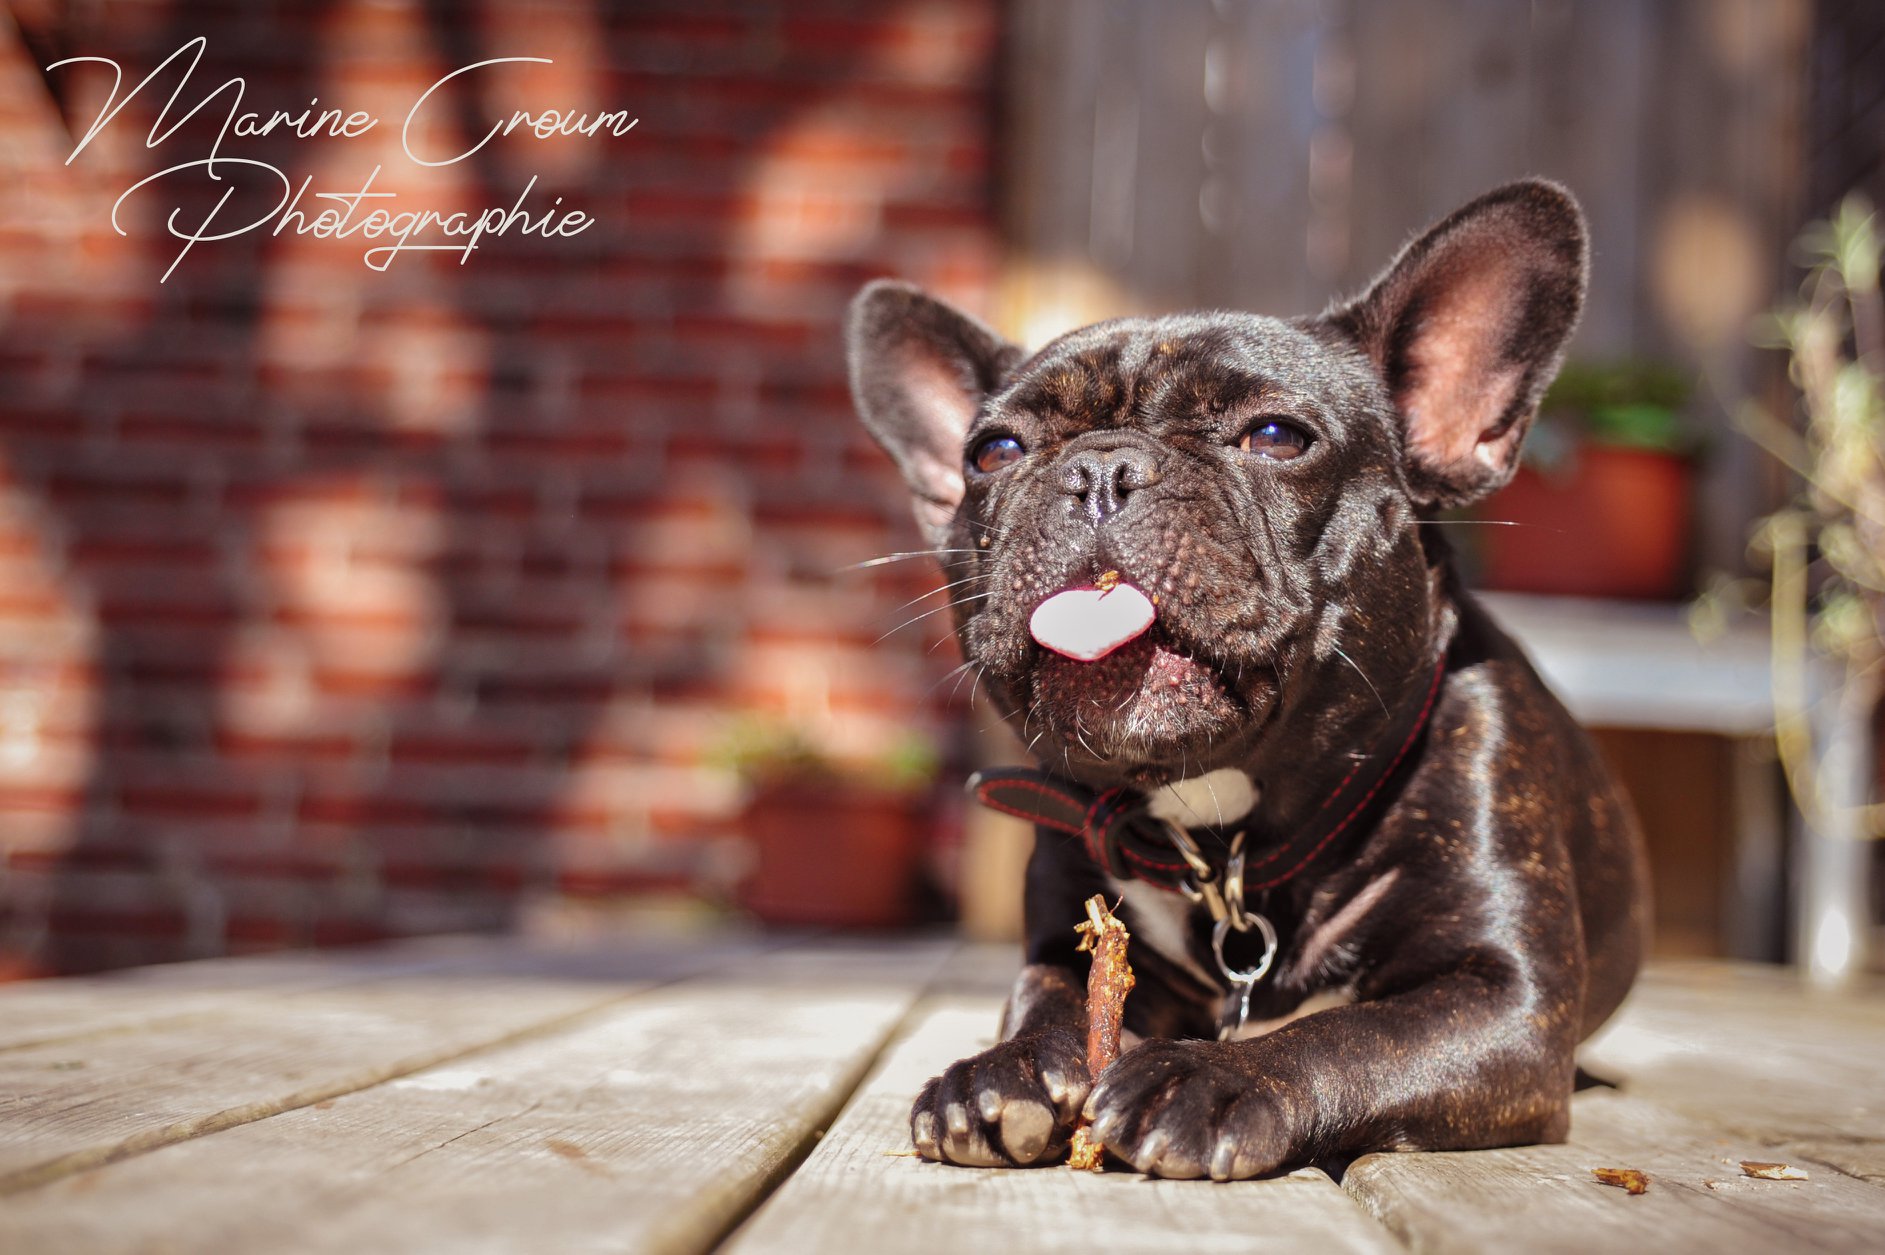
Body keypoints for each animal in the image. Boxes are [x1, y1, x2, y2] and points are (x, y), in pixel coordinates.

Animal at [848, 180, 1643, 1175]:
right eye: (991, 452)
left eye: (1274, 436)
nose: (1100, 468)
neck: (1225, 834)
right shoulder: (1067, 928)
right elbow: (1051, 992)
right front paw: (1006, 1068)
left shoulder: (1502, 994)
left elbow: (1352, 1033)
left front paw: (1214, 1077)